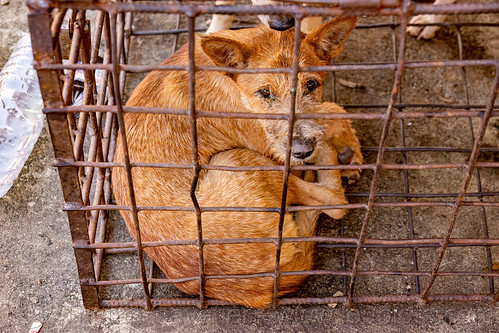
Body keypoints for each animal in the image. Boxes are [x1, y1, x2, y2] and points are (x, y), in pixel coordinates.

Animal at [113, 16, 362, 306]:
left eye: (311, 85)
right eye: (264, 92)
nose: (303, 151)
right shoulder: (267, 143)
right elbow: (335, 113)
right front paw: (346, 147)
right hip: (240, 160)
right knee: (335, 202)